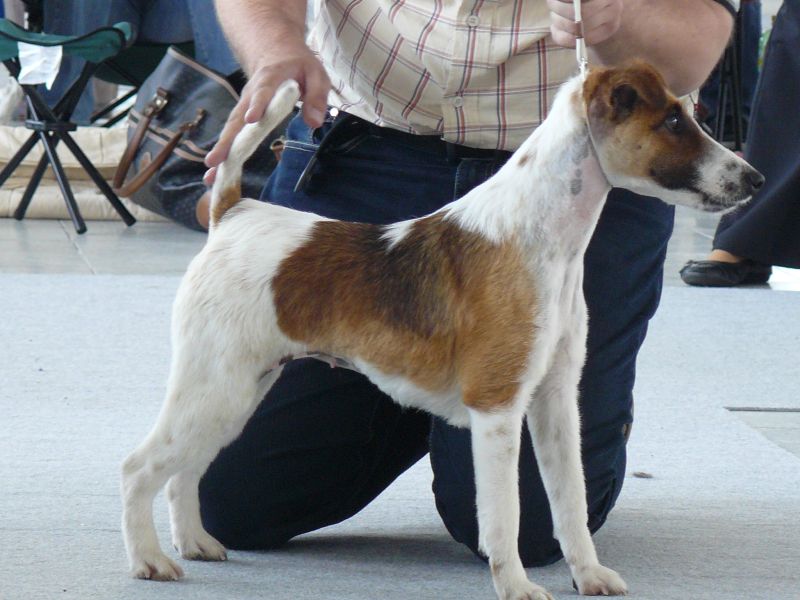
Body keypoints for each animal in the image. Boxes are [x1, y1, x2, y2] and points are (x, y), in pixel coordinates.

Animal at [121, 61, 763, 599]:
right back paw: (151, 561)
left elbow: (570, 504)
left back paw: (195, 544)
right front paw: (518, 587)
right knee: (140, 469)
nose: (753, 178)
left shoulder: (555, 401)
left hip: (236, 393)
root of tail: (233, 212)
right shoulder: (498, 408)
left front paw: (590, 575)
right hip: (217, 387)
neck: (541, 237)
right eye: (673, 121)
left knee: (185, 472)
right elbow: (504, 516)